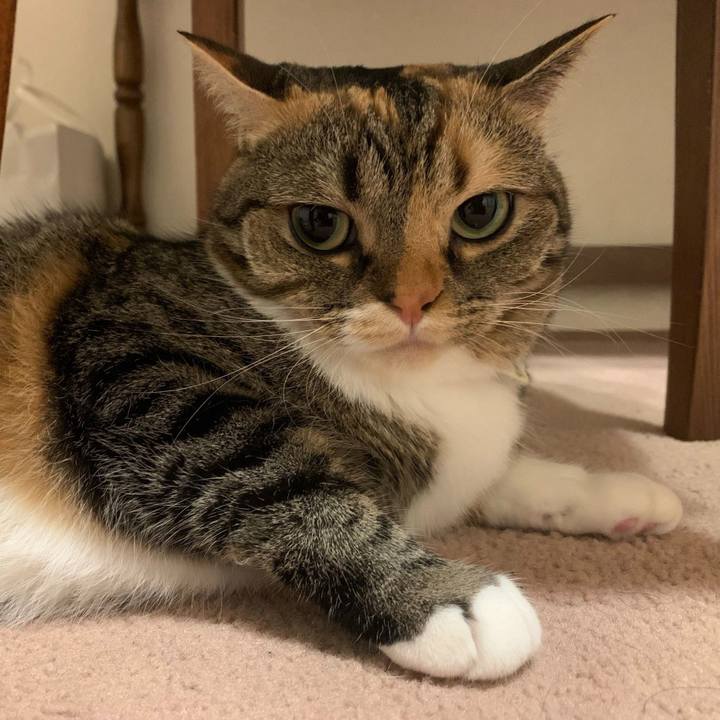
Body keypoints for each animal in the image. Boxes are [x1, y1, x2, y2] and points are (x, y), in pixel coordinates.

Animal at [0, 15, 682, 680]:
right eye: (319, 224)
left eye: (482, 212)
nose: (413, 301)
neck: (419, 392)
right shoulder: (134, 367)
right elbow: (292, 486)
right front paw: (454, 602)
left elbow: (502, 476)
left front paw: (616, 496)